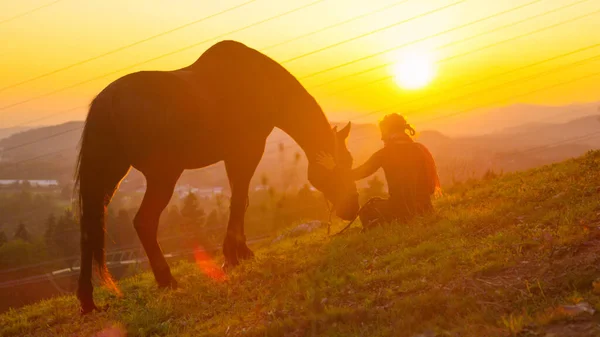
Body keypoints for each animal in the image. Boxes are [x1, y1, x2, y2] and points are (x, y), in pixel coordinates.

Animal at [72, 40, 358, 314]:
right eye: (343, 165)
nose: (352, 208)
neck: (261, 82)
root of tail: (107, 101)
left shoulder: (235, 156)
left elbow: (239, 201)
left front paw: (239, 254)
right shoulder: (248, 152)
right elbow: (239, 201)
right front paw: (234, 256)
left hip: (110, 175)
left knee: (90, 228)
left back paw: (87, 301)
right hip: (163, 175)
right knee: (144, 222)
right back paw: (167, 281)